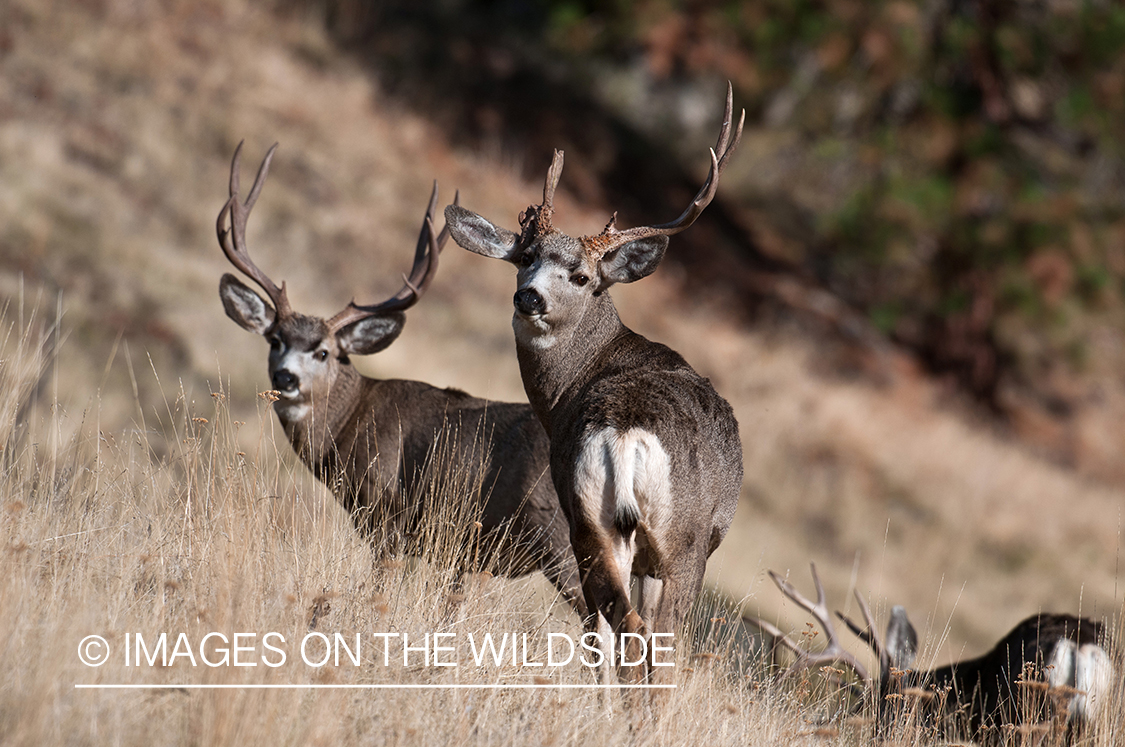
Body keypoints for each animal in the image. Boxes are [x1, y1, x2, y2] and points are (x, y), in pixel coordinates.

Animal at [215, 141, 586, 618]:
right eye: (275, 340)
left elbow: (377, 590)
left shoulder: (386, 517)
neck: (348, 422)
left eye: (324, 352)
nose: (286, 377)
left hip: (561, 540)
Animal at [443, 85, 746, 682]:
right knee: (649, 639)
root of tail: (626, 434)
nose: (529, 296)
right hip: (680, 542)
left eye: (581, 276)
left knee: (607, 626)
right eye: (526, 257)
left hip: (593, 522)